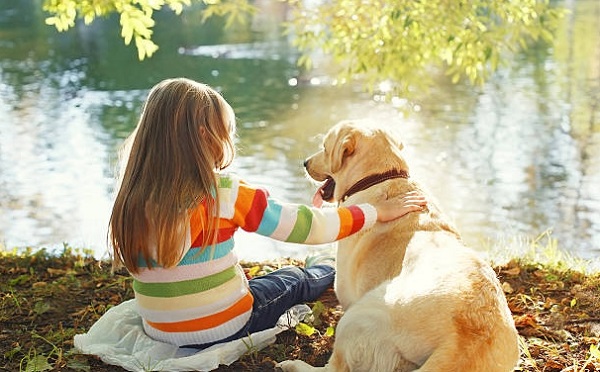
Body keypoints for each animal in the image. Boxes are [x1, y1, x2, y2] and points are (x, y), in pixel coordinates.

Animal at [278, 121, 516, 372]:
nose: (305, 163)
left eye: (324, 147)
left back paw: (294, 365)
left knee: (335, 368)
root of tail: (464, 342)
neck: (382, 177)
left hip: (359, 314)